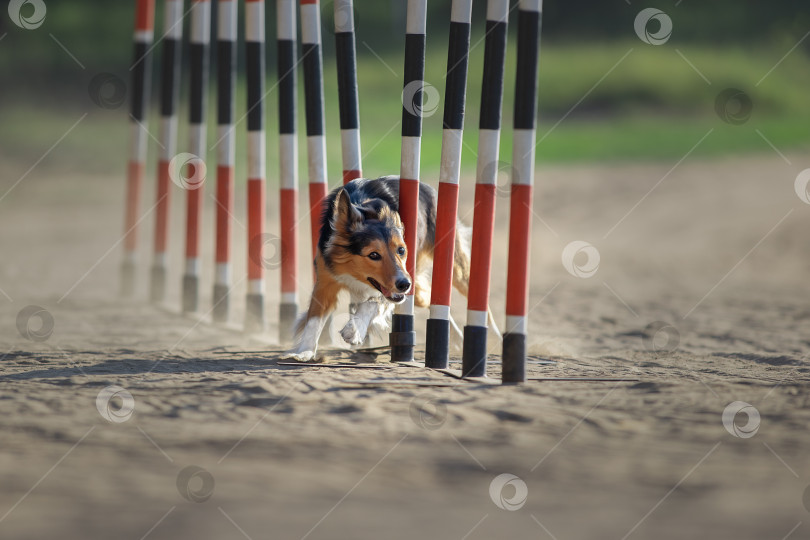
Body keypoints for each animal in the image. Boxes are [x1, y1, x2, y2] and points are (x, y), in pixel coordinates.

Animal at [282, 176, 498, 362]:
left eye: (401, 250)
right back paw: (456, 338)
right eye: (373, 255)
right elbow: (314, 319)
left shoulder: (399, 282)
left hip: (453, 269)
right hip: (418, 288)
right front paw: (304, 352)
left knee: (480, 302)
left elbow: (373, 303)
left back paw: (494, 338)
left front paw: (355, 329)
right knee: (429, 298)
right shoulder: (325, 282)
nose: (404, 284)